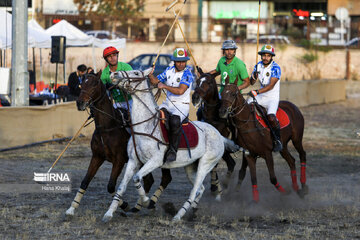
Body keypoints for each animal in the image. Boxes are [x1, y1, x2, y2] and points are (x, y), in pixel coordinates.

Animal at [64, 71, 172, 216]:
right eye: (81, 84)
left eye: (94, 84)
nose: (80, 103)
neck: (107, 127)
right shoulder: (97, 157)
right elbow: (85, 182)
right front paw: (71, 209)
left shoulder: (119, 160)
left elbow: (110, 186)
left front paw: (124, 205)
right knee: (149, 180)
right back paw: (139, 206)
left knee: (165, 178)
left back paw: (150, 203)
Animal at [102, 68, 240, 222]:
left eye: (136, 73)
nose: (114, 74)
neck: (144, 127)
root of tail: (219, 135)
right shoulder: (133, 161)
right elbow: (121, 187)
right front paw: (108, 214)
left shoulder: (155, 161)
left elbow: (137, 178)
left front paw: (147, 202)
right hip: (190, 166)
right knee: (200, 189)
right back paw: (191, 212)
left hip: (206, 164)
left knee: (194, 190)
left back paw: (178, 216)